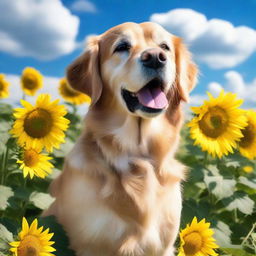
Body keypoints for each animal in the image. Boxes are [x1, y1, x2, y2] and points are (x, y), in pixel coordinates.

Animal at [44, 22, 197, 256]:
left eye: (165, 47)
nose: (155, 57)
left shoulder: (164, 247)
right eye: (122, 47)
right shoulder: (88, 246)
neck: (138, 155)